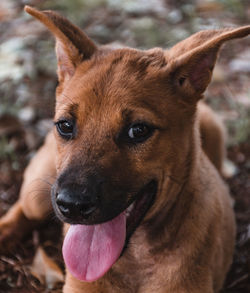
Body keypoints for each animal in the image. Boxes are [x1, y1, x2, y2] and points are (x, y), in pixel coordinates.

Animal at [0, 5, 250, 290]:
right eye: (65, 125)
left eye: (138, 130)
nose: (72, 205)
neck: (134, 258)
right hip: (38, 193)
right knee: (23, 210)